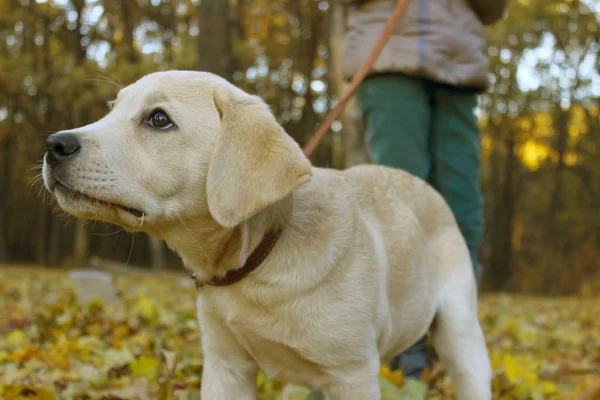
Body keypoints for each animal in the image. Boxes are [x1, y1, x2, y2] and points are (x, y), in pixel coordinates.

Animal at [42, 70, 492, 398]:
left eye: (159, 119)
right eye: (112, 110)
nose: (53, 144)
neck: (259, 261)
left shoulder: (353, 375)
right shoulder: (224, 366)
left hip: (460, 332)